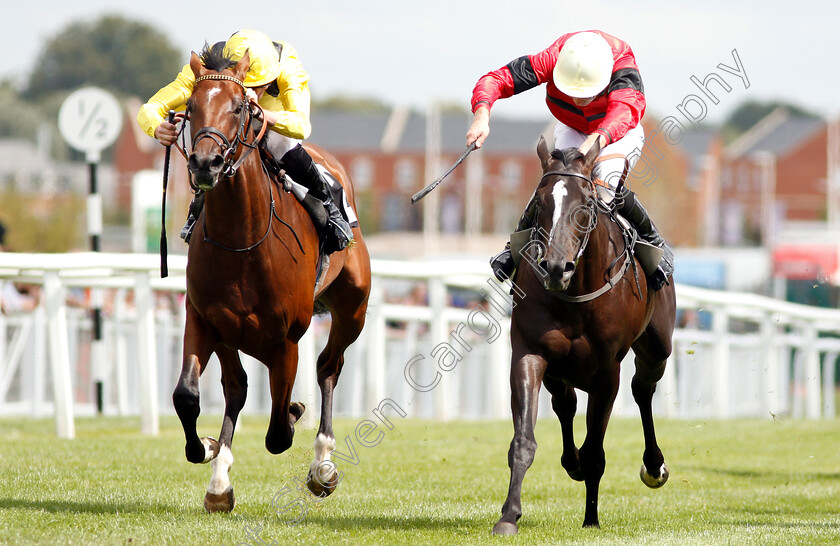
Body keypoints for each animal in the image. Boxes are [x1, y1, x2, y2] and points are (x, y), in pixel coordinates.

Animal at [171, 47, 370, 510]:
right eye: (191, 107)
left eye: (239, 107)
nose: (205, 163)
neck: (242, 242)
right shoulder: (206, 319)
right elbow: (189, 394)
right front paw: (209, 451)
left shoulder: (286, 339)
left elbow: (279, 429)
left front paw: (296, 417)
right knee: (237, 386)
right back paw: (219, 478)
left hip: (353, 310)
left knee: (328, 367)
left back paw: (323, 465)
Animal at [492, 136, 676, 532]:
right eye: (538, 202)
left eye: (586, 203)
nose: (555, 267)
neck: (575, 293)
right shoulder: (530, 353)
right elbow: (524, 440)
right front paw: (509, 515)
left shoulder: (607, 372)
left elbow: (595, 451)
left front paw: (591, 518)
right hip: (560, 369)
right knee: (566, 404)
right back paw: (571, 461)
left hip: (657, 347)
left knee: (643, 389)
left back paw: (653, 465)